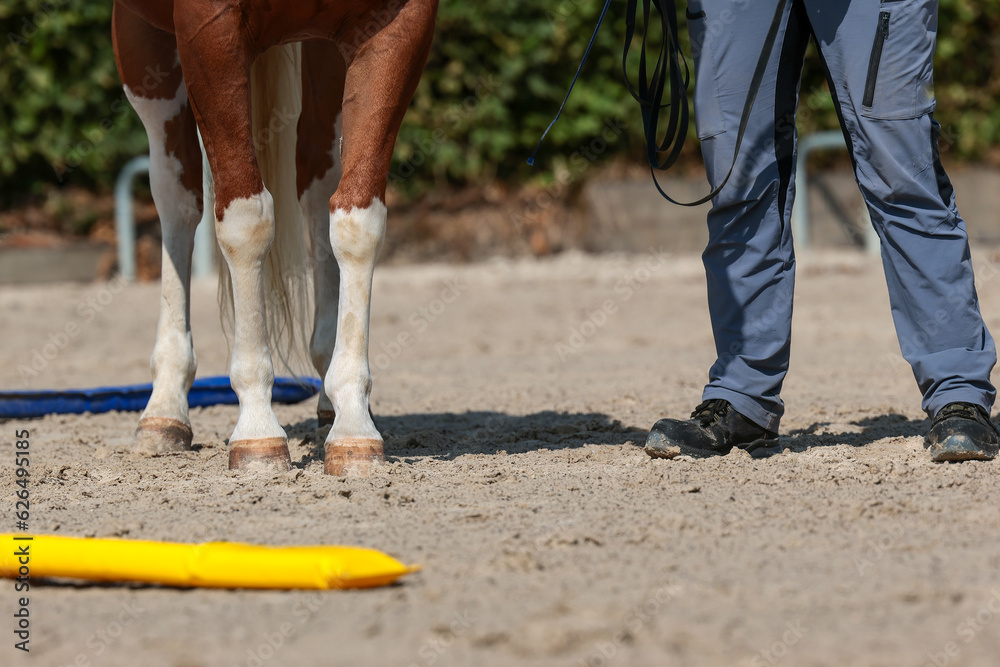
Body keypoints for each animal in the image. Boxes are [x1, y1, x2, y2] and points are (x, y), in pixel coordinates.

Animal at [111, 0, 438, 474]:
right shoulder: (206, 30)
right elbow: (246, 222)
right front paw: (257, 430)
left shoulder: (398, 25)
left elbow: (358, 222)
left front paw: (354, 426)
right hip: (142, 43)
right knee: (177, 197)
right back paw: (164, 411)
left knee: (317, 176)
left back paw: (329, 399)